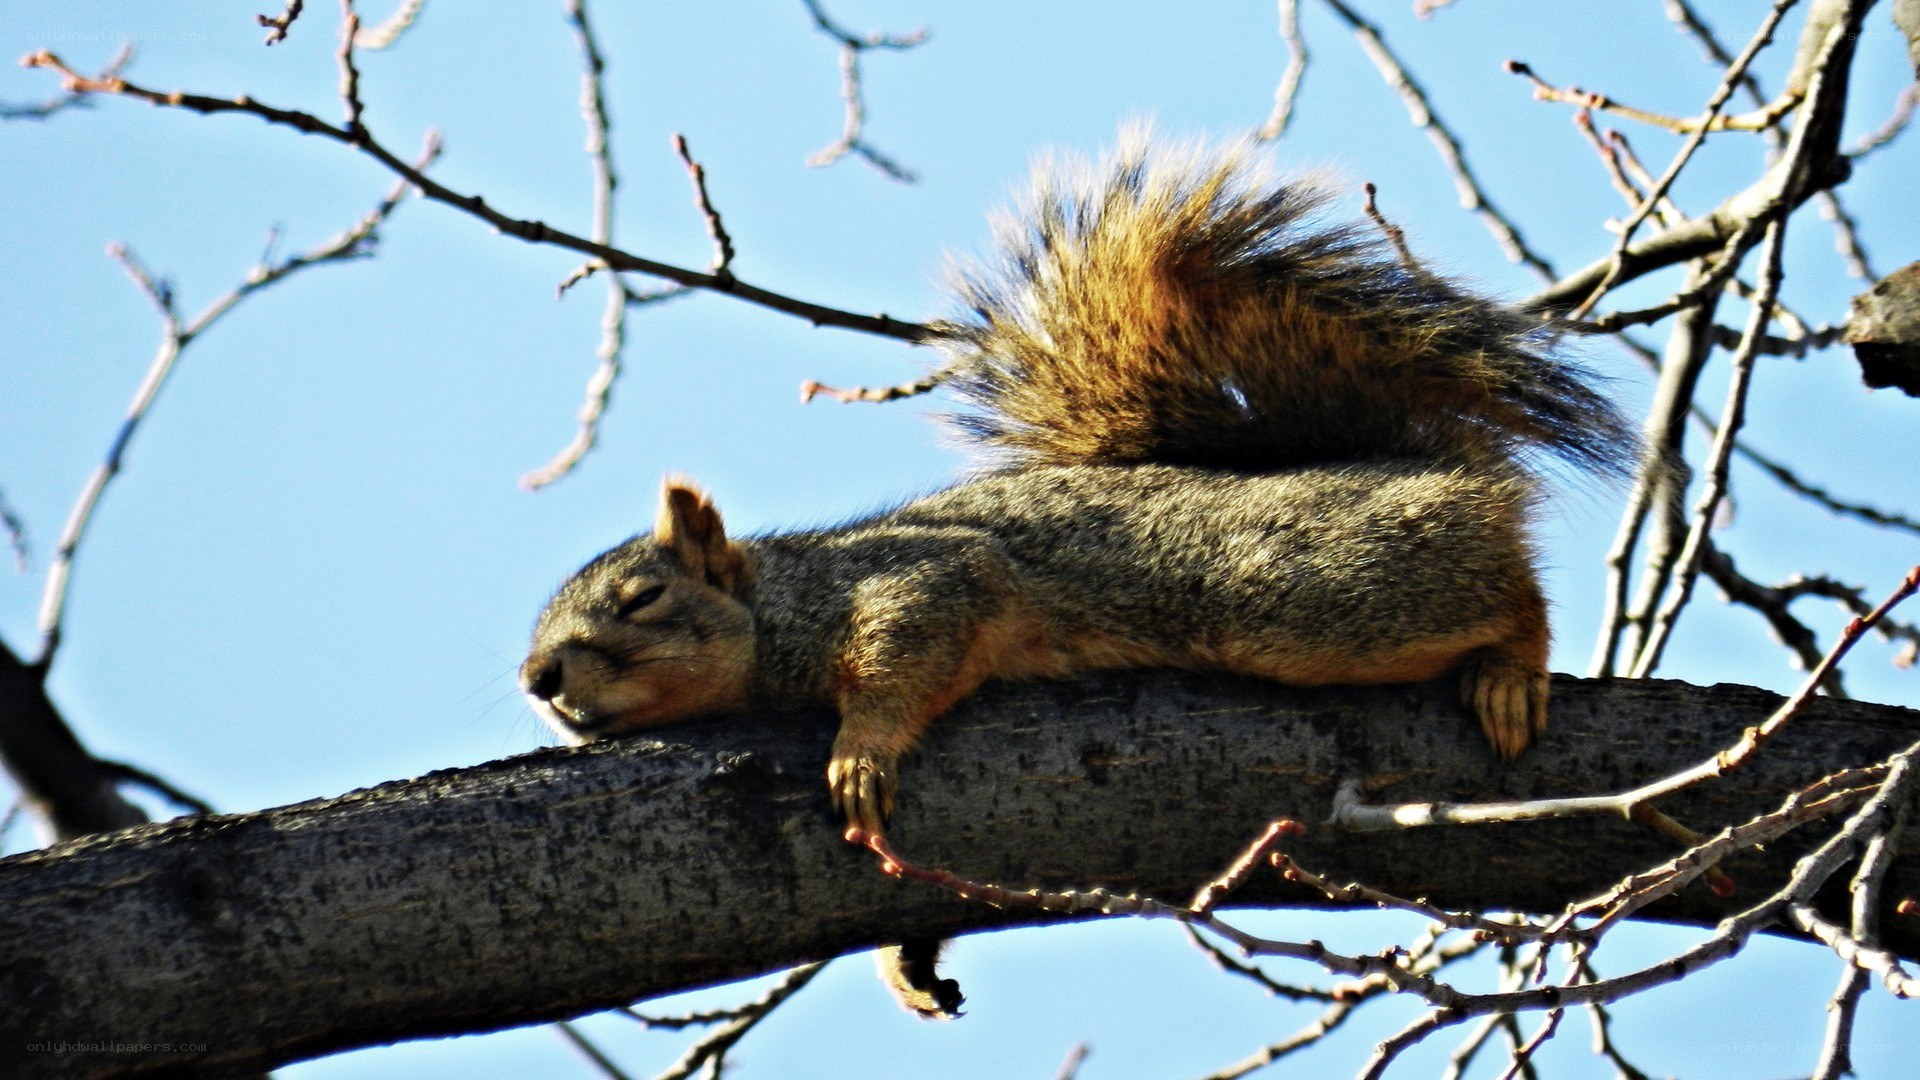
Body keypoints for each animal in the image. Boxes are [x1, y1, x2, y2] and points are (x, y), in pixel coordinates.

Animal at [519, 134, 1632, 1019]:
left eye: (643, 598)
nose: (539, 680)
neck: (784, 599)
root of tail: (1419, 465)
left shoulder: (920, 577)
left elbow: (910, 647)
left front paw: (861, 752)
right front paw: (907, 966)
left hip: (1307, 595)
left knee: (1505, 591)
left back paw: (1511, 668)